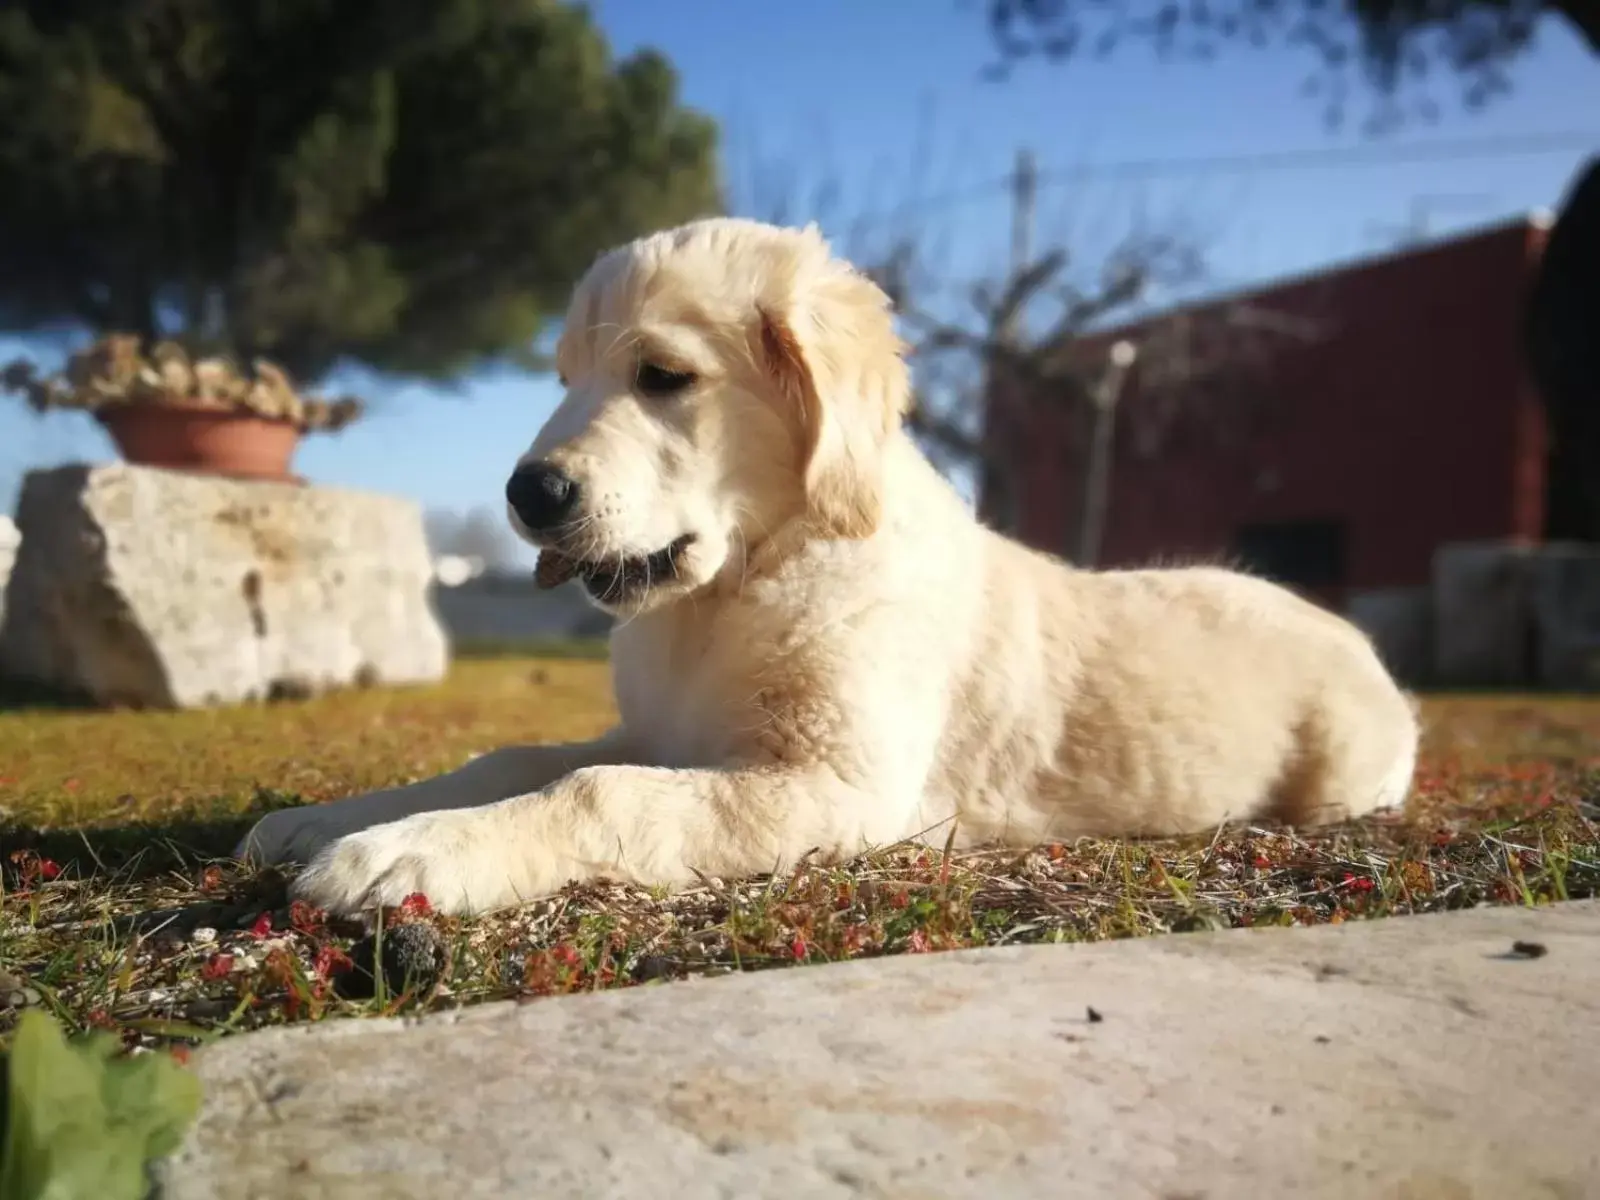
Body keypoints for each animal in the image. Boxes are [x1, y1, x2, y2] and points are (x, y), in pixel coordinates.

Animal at [243, 216, 1420, 915]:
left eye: (663, 376)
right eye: (567, 378)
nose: (526, 496)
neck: (739, 587)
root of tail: (1352, 635)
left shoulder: (834, 788)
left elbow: (594, 792)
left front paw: (411, 857)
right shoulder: (662, 734)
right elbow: (514, 758)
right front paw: (336, 818)